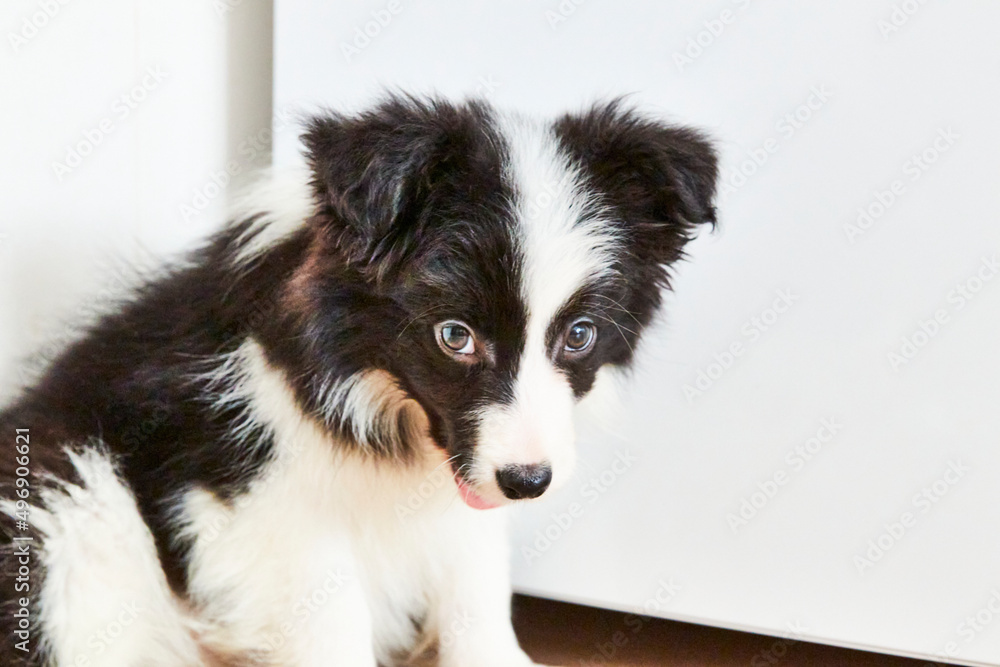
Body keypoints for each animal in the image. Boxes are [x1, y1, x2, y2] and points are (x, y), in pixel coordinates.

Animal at [0, 95, 720, 667]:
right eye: (454, 335)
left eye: (579, 335)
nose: (528, 482)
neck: (371, 387)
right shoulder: (255, 498)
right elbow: (331, 617)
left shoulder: (467, 480)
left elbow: (477, 577)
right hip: (75, 508)